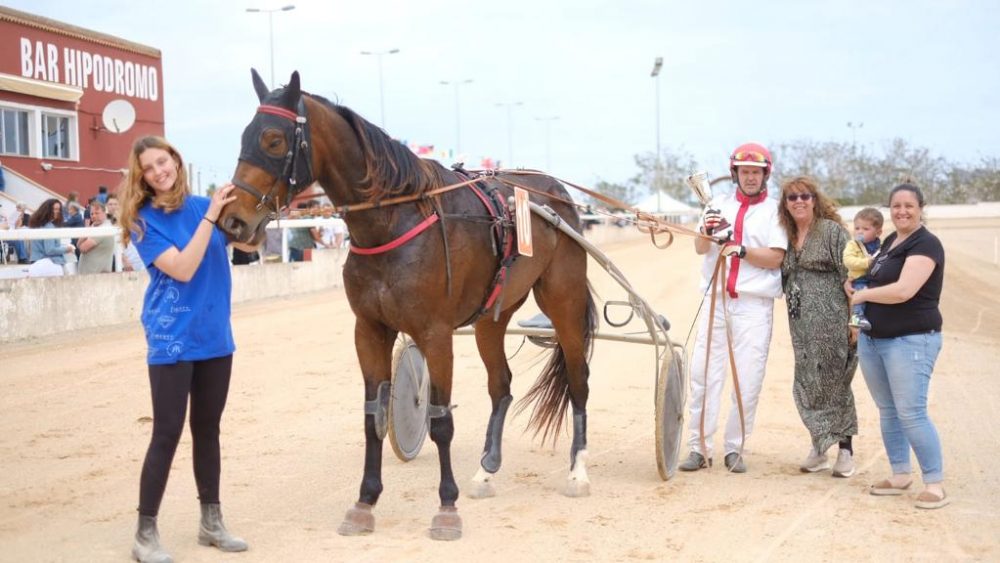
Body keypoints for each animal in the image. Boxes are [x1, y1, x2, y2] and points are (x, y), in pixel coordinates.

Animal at [219, 70, 592, 540]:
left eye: (272, 139)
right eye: (244, 135)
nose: (233, 220)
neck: (394, 222)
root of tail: (557, 193)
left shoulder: (436, 334)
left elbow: (440, 419)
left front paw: (447, 508)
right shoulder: (369, 329)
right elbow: (373, 415)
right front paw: (365, 502)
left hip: (564, 299)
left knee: (578, 380)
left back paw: (578, 471)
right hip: (493, 315)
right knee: (501, 385)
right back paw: (486, 470)